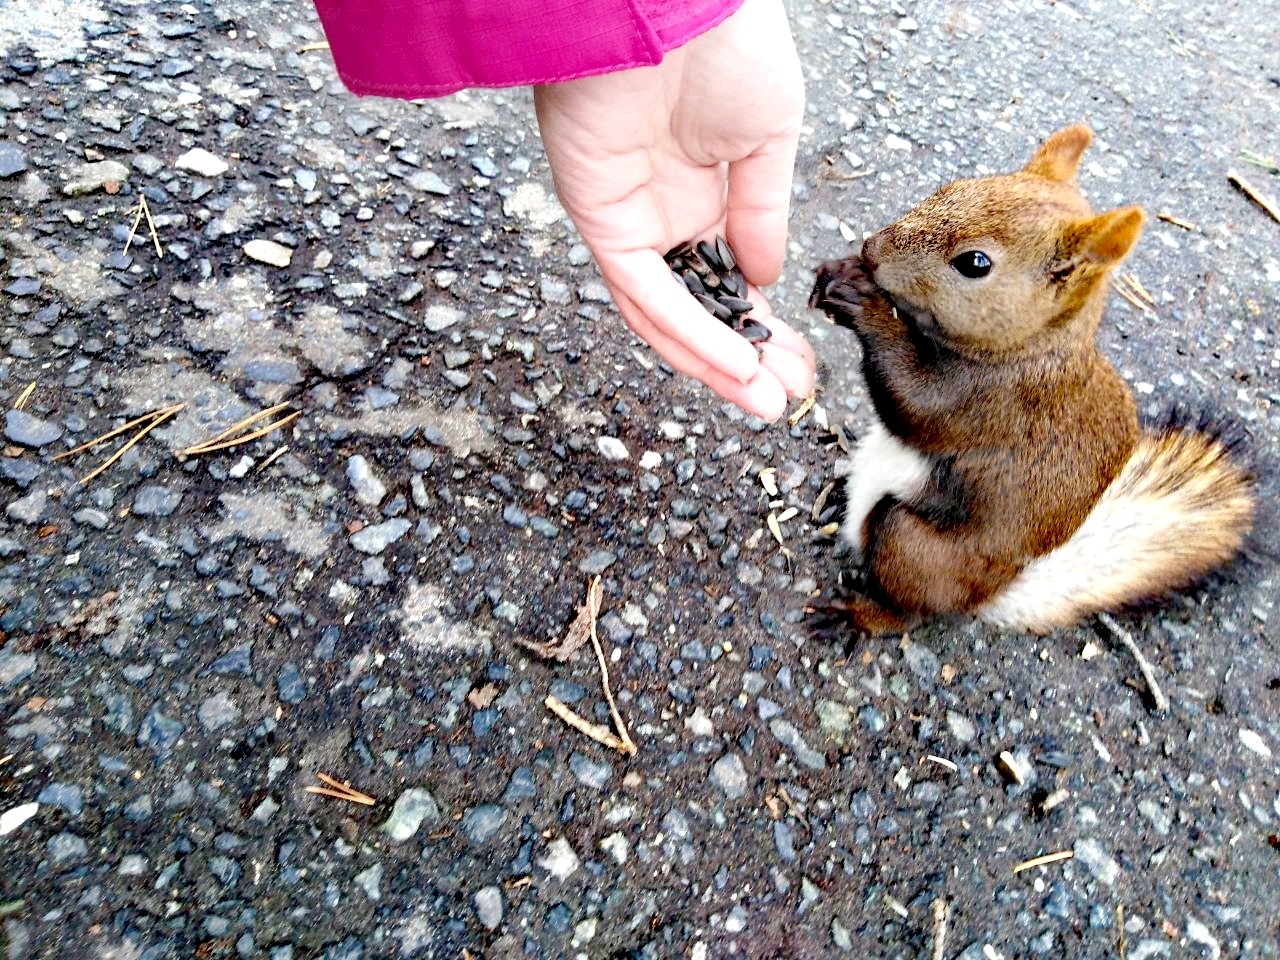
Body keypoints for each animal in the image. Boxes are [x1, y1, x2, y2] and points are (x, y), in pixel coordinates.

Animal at [808, 126, 1259, 640]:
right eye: (949, 188)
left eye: (975, 263)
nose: (871, 248)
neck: (1031, 350)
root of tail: (988, 596)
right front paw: (842, 273)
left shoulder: (996, 405)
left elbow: (915, 403)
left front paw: (865, 306)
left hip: (912, 547)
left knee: (911, 610)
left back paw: (860, 613)